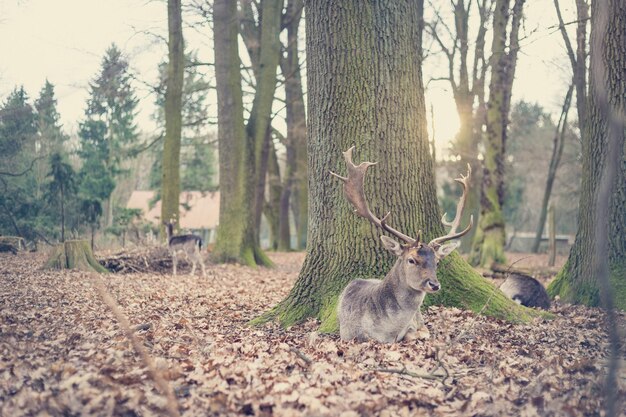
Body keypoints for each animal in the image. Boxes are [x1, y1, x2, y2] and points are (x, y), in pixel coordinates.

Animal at [332, 146, 472, 342]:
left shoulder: (419, 325)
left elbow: (419, 333)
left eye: (437, 261)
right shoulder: (352, 334)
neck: (388, 330)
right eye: (411, 260)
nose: (434, 285)